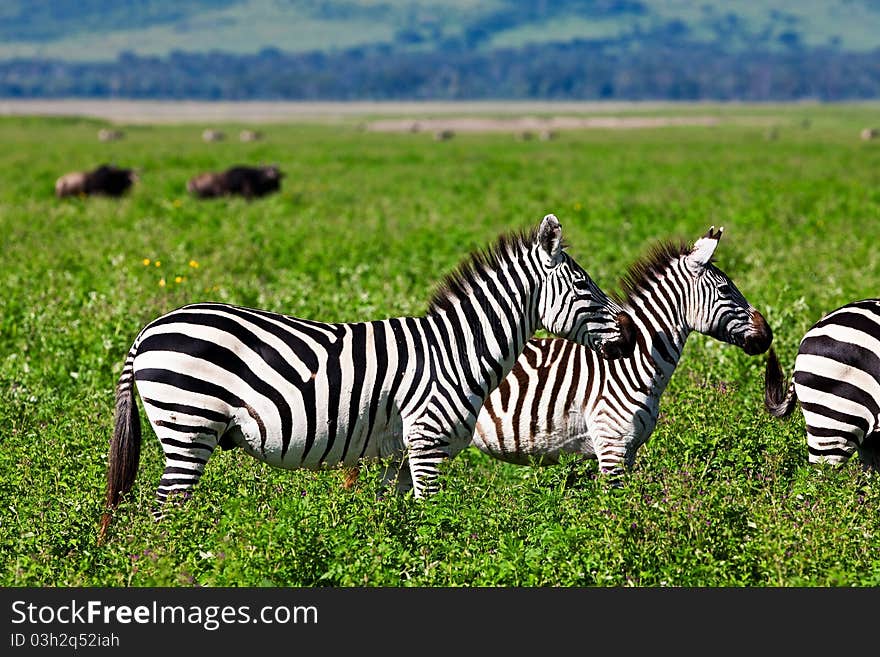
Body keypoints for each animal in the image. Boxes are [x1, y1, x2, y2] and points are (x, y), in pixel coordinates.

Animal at [99, 213, 636, 540]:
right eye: (584, 284)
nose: (629, 337)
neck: (456, 350)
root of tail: (148, 329)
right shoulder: (427, 441)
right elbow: (431, 518)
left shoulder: (397, 454)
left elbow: (392, 522)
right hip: (188, 425)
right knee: (165, 513)